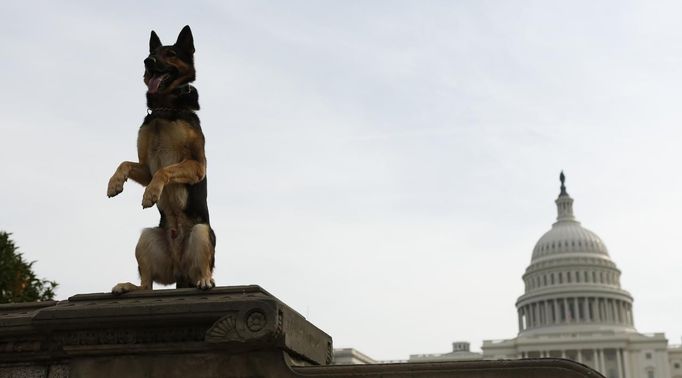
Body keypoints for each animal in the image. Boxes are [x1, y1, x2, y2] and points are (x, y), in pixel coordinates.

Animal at [107, 25, 214, 294]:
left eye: (171, 54)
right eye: (152, 53)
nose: (148, 61)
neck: (164, 111)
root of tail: (180, 270)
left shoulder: (198, 166)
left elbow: (164, 171)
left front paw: (151, 194)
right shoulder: (144, 168)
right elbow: (125, 163)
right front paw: (114, 184)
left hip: (201, 232)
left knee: (204, 270)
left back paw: (205, 280)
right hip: (146, 237)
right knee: (147, 286)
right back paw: (127, 286)